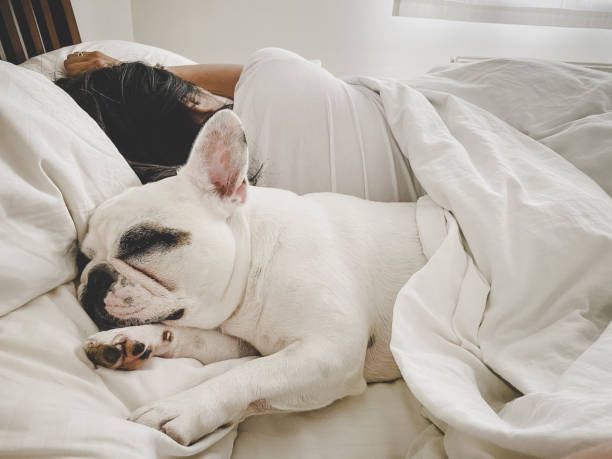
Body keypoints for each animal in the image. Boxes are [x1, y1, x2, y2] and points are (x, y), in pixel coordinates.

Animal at [77, 110, 426, 446]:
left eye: (142, 244)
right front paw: (130, 339)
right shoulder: (245, 343)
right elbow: (195, 338)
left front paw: (180, 408)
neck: (257, 264)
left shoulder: (330, 350)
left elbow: (249, 375)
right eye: (82, 257)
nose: (93, 278)